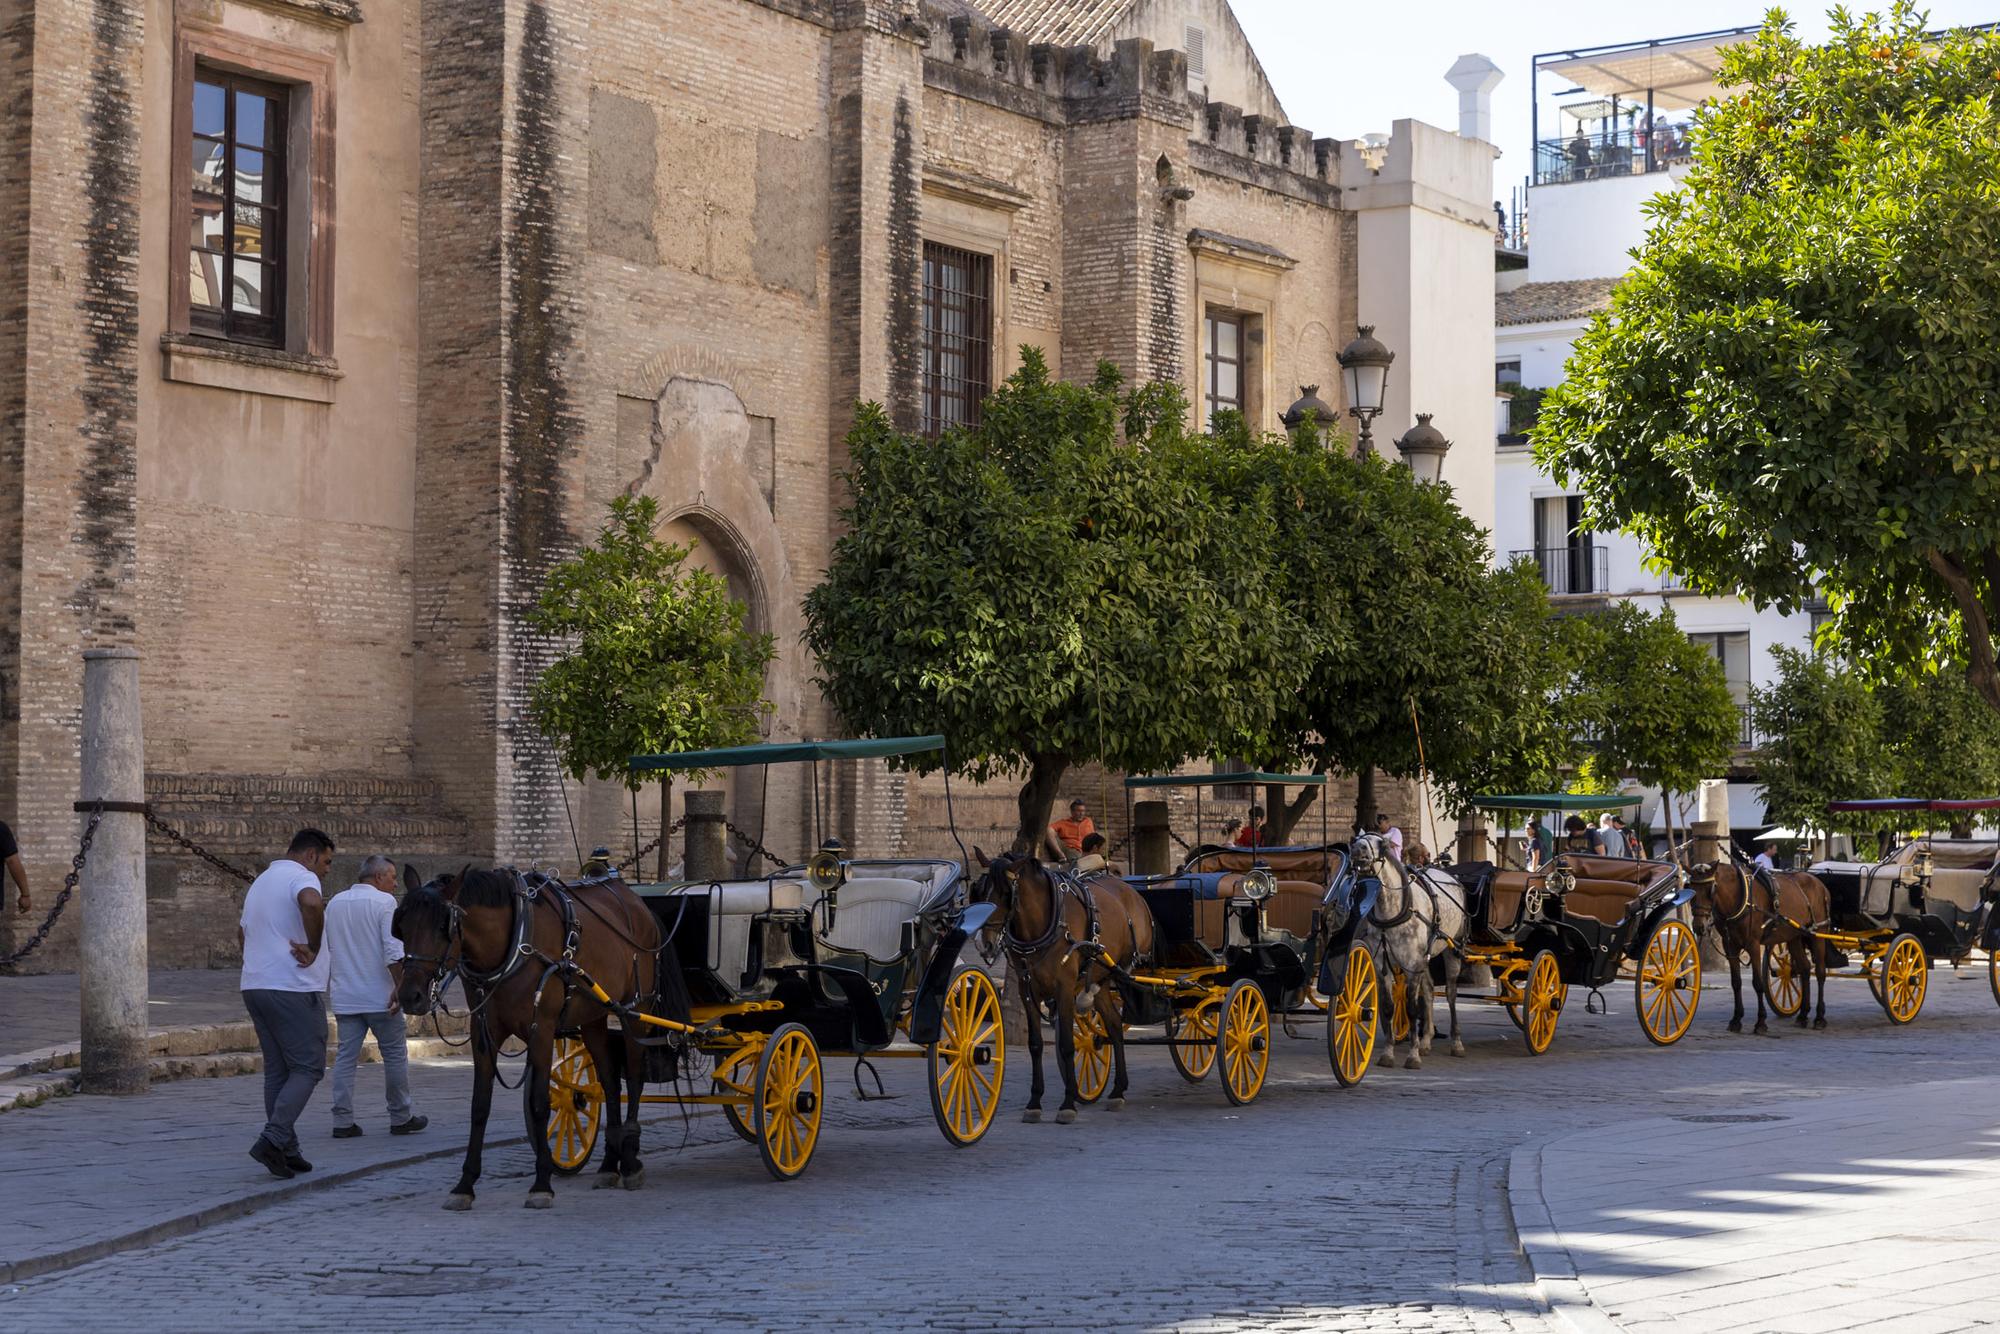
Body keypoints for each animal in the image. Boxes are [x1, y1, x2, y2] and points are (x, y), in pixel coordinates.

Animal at [394, 868, 692, 1208]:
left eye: (442, 926)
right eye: (402, 926)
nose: (410, 996)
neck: (514, 943)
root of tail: (640, 906)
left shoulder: (542, 1030)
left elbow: (540, 1102)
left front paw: (541, 1184)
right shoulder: (484, 1032)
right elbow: (479, 1106)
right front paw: (464, 1184)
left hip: (635, 1011)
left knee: (635, 1079)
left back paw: (629, 1163)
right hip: (594, 1017)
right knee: (610, 1084)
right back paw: (608, 1165)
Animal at [972, 852, 1160, 1120]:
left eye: (1007, 893)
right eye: (980, 890)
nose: (984, 944)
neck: (1043, 926)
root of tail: (1132, 892)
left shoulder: (1065, 987)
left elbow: (1066, 1045)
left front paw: (1068, 1103)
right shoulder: (1026, 991)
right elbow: (1035, 1045)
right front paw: (1034, 1102)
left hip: (1123, 968)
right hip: (1101, 978)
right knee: (1114, 1025)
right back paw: (1117, 1090)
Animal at [1344, 840, 1472, 1072]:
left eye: (1381, 844)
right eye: (1357, 840)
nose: (1358, 848)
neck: (1393, 910)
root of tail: (1450, 875)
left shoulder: (1412, 965)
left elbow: (1412, 1009)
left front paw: (1413, 1056)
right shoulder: (1383, 966)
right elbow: (1388, 1008)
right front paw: (1388, 1053)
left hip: (1453, 950)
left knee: (1451, 995)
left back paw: (1456, 1043)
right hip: (1426, 958)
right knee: (1429, 991)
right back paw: (1426, 1041)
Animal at [1688, 860, 1832, 1040]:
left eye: (1711, 889)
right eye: (1690, 889)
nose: (1699, 927)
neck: (1738, 898)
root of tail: (1819, 883)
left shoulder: (1754, 945)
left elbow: (1758, 983)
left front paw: (1761, 1022)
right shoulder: (1730, 947)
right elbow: (1736, 982)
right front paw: (1736, 1019)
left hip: (1818, 932)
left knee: (1820, 973)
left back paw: (1819, 1017)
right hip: (1794, 936)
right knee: (1805, 968)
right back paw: (1803, 1015)